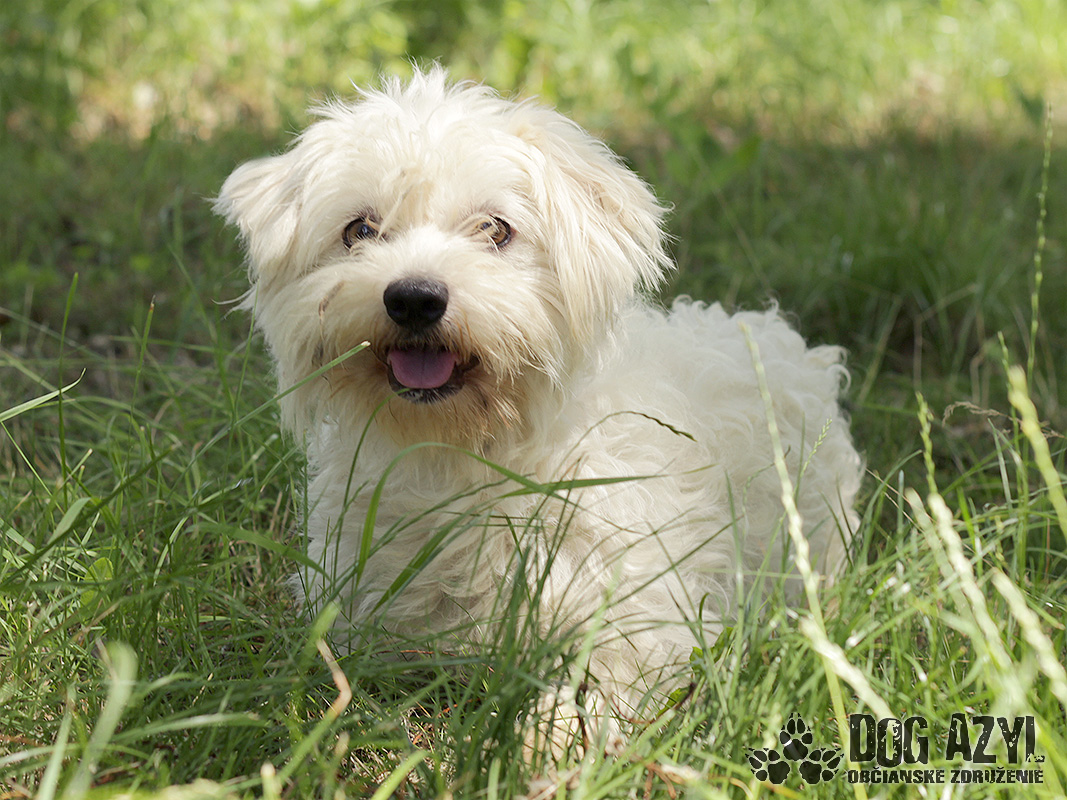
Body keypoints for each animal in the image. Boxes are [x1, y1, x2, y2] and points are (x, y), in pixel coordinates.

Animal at [215, 67, 862, 735]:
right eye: (359, 230)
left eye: (495, 228)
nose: (414, 298)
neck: (470, 452)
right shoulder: (359, 606)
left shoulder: (642, 620)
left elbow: (598, 691)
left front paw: (546, 743)